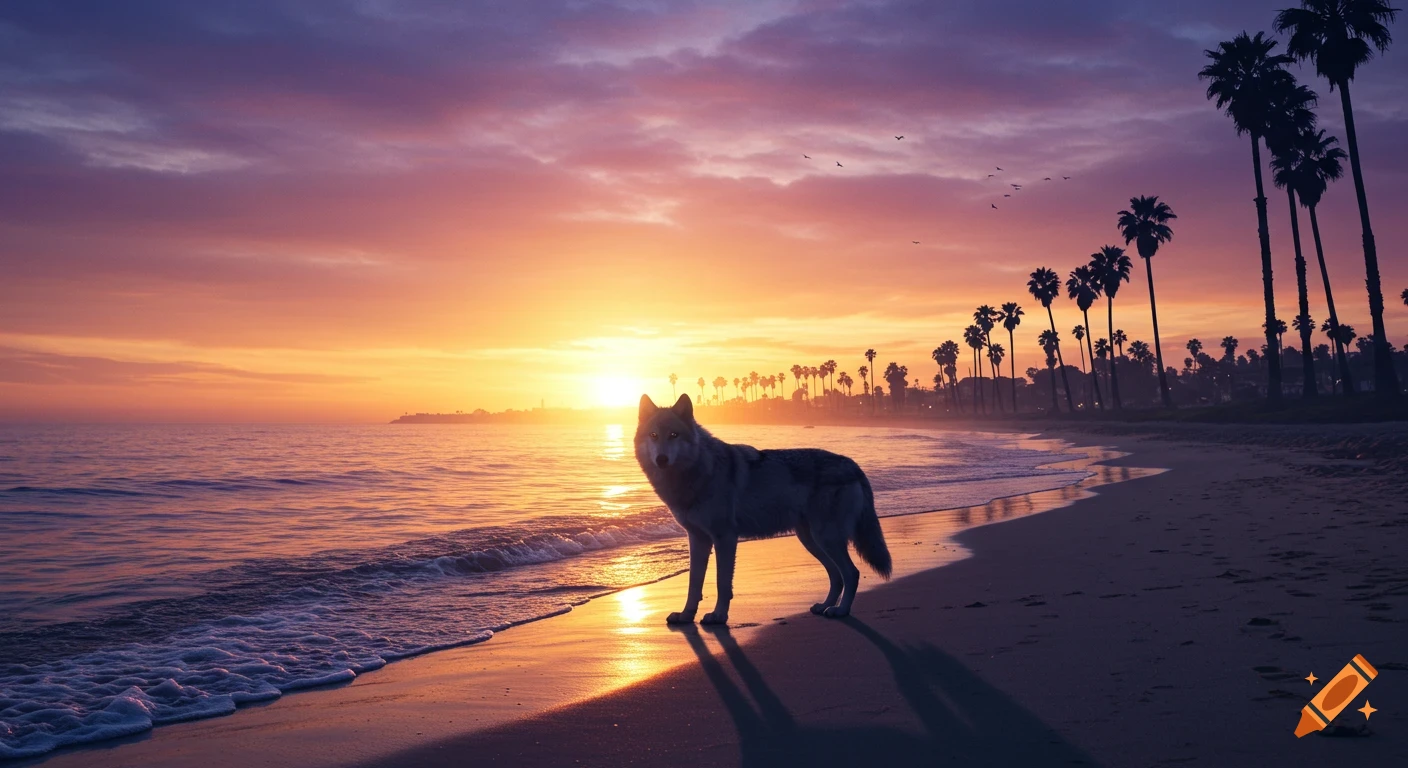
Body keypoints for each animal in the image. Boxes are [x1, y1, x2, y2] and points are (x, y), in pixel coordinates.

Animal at [635, 394, 892, 625]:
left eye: (674, 435)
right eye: (654, 435)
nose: (661, 459)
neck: (697, 472)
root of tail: (853, 464)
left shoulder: (725, 538)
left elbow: (722, 583)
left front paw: (718, 616)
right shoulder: (698, 539)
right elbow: (694, 584)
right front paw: (686, 616)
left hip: (825, 539)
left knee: (851, 573)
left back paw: (841, 611)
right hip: (812, 541)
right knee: (837, 576)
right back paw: (825, 606)